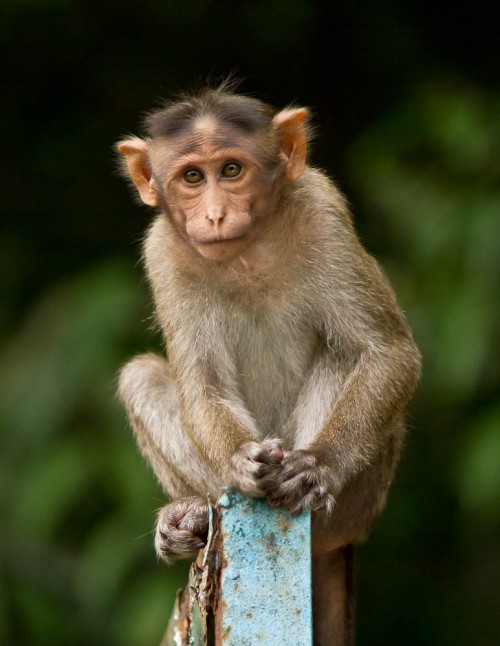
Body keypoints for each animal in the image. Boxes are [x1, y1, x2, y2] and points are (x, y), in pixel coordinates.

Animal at [115, 82, 420, 646]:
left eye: (232, 170)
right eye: (193, 177)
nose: (214, 215)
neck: (247, 255)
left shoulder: (323, 213)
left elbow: (385, 351)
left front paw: (319, 466)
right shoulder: (163, 252)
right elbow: (203, 386)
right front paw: (240, 461)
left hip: (363, 501)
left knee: (341, 352)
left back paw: (303, 490)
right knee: (140, 375)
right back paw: (194, 515)